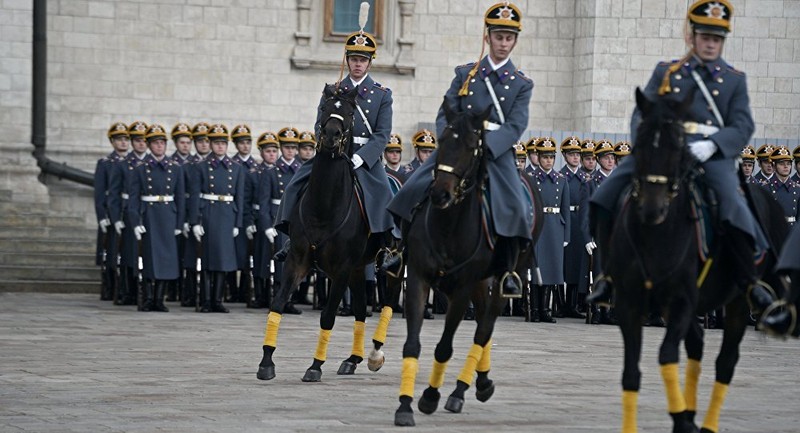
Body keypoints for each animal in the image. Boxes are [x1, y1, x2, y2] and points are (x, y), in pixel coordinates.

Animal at [258, 84, 400, 382]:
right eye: (323, 108)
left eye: (349, 112)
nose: (333, 136)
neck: (324, 206)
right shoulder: (297, 261)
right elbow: (277, 304)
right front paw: (266, 361)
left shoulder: (341, 269)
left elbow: (328, 316)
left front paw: (315, 366)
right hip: (359, 268)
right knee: (360, 310)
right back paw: (352, 359)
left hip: (396, 266)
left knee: (389, 304)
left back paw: (375, 354)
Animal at [394, 103, 544, 426]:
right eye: (442, 140)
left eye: (472, 146)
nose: (440, 193)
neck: (448, 225)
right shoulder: (419, 279)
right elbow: (412, 344)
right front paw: (404, 405)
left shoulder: (462, 289)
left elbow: (444, 347)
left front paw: (430, 397)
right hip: (479, 281)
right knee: (483, 322)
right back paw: (477, 383)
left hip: (506, 276)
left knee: (485, 329)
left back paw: (460, 391)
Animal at [612, 88, 788, 432]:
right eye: (640, 142)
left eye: (678, 144)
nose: (652, 208)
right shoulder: (631, 304)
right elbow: (630, 373)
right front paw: (679, 417)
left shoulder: (681, 302)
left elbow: (667, 355)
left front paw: (681, 417)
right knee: (697, 345)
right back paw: (689, 416)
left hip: (737, 302)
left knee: (725, 362)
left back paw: (704, 423)